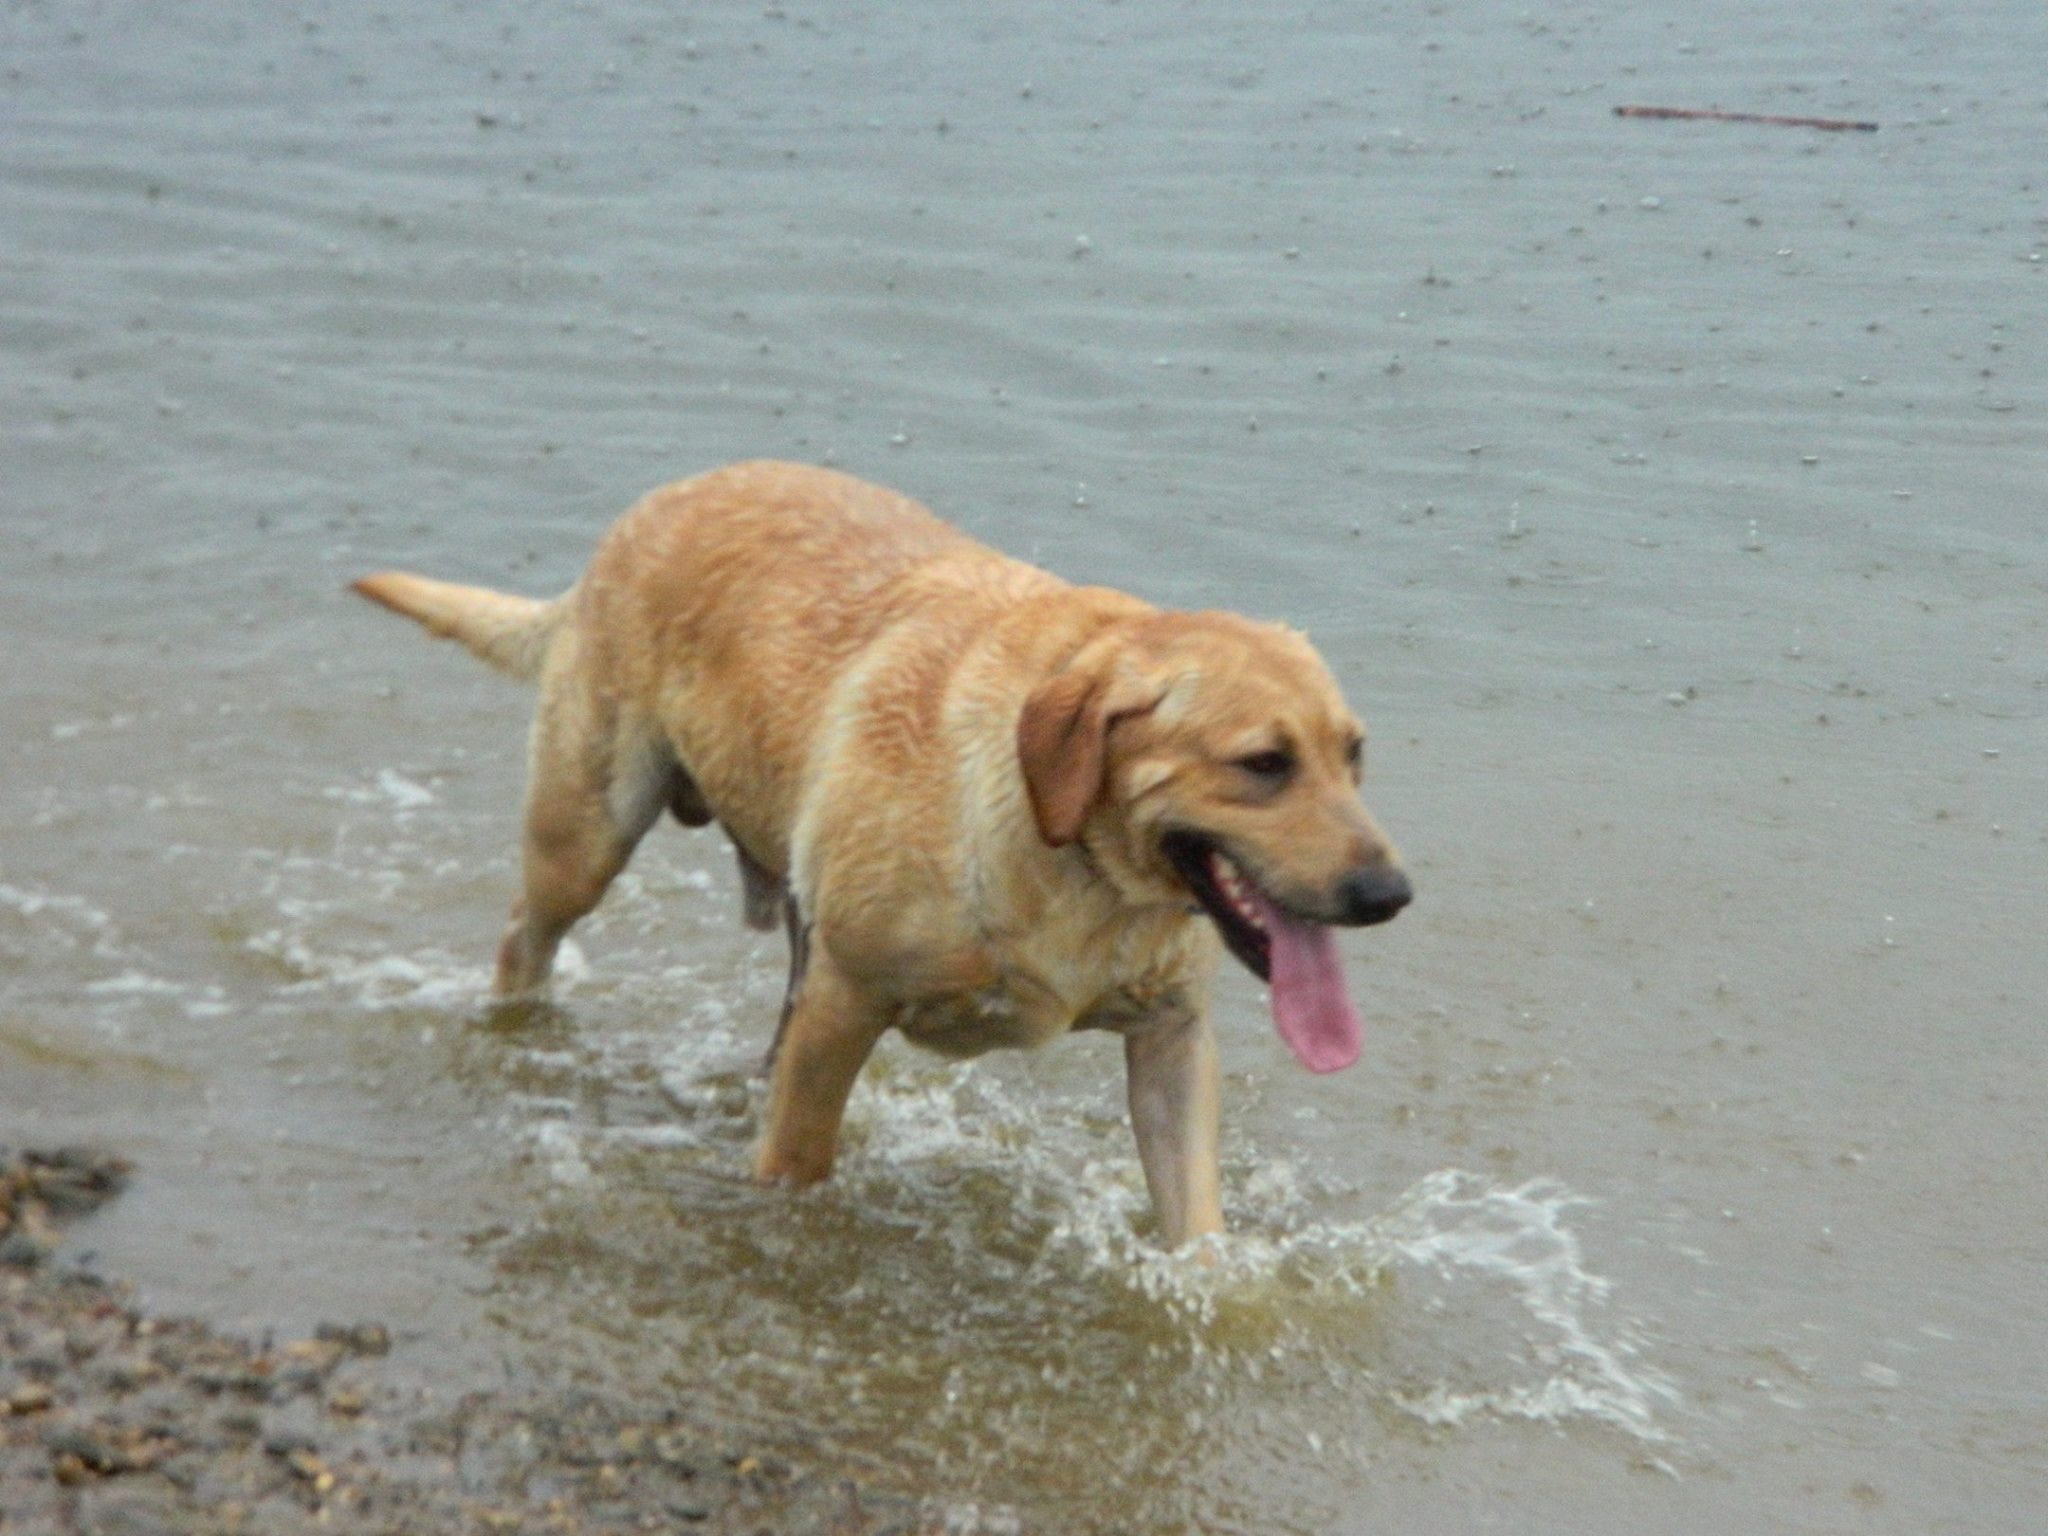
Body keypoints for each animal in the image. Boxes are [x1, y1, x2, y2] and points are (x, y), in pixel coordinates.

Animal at [352, 462, 1409, 1253]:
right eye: (1264, 764)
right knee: (526, 935)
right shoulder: (845, 1002)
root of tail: (657, 500)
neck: (1071, 859)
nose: (1388, 893)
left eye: (1355, 753)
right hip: (587, 832)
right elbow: (798, 1160)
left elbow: (1196, 1223)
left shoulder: (1173, 1039)